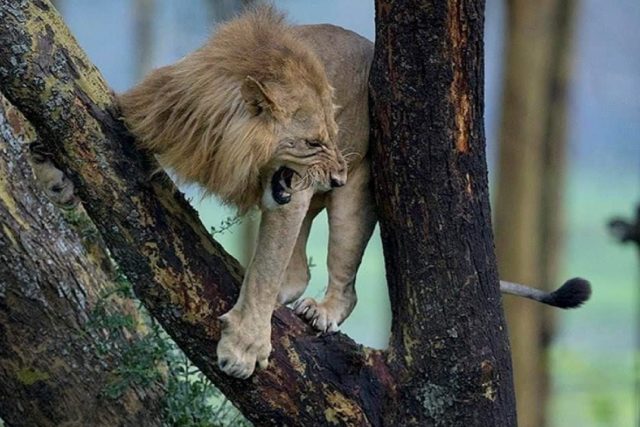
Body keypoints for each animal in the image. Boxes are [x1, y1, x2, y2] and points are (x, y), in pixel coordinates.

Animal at [119, 6, 592, 380]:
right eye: (313, 141)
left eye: (332, 133)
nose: (337, 177)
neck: (224, 148)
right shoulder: (153, 114)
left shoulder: (290, 197)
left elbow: (265, 272)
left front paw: (244, 348)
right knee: (297, 272)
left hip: (358, 197)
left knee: (341, 284)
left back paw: (320, 310)